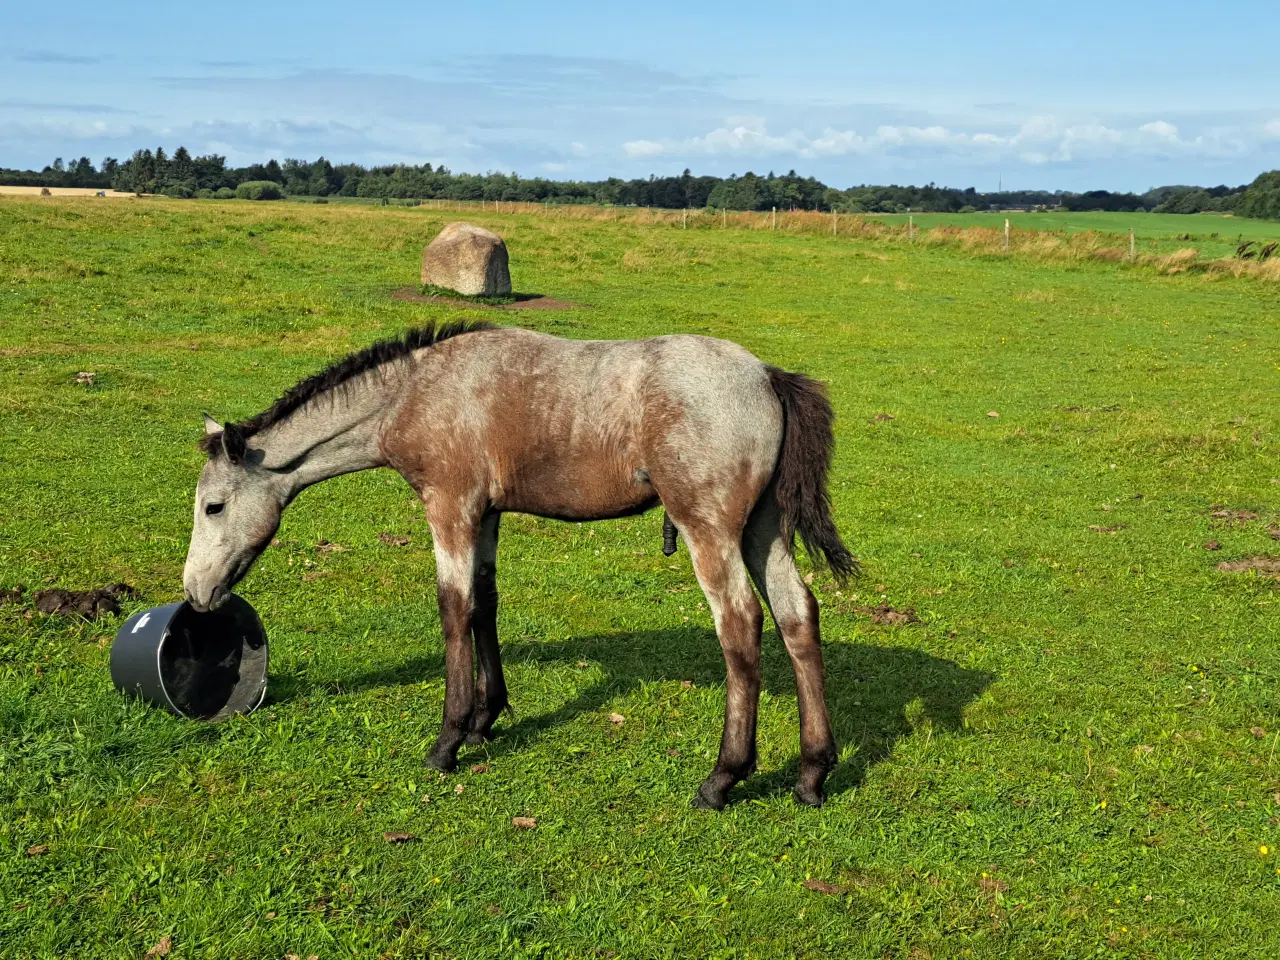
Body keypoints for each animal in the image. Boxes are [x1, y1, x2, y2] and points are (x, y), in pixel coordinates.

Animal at [180, 325, 855, 814]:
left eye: (213, 506)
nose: (196, 592)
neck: (417, 391)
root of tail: (767, 376)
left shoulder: (450, 504)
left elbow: (453, 609)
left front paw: (448, 740)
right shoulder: (486, 513)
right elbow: (484, 601)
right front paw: (486, 719)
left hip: (708, 529)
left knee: (740, 624)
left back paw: (722, 778)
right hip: (764, 529)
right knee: (798, 615)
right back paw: (812, 773)